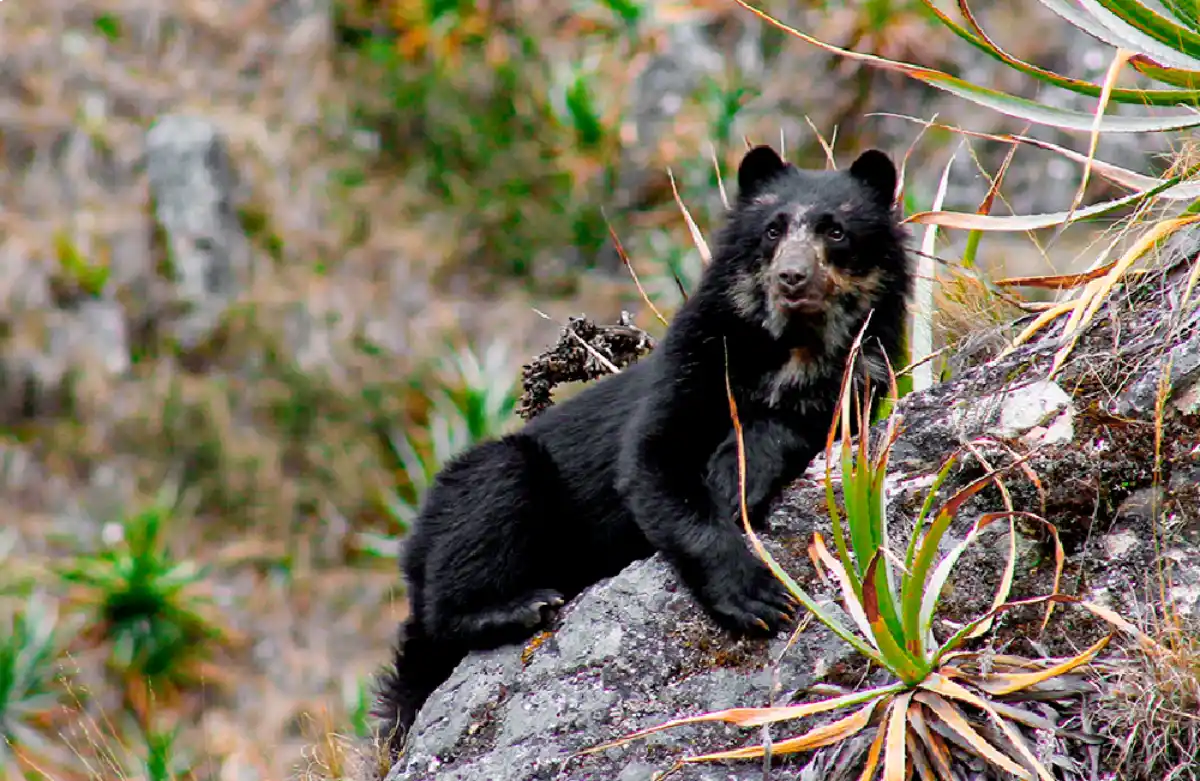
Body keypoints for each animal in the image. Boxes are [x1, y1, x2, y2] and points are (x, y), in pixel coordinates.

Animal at [374, 143, 907, 753]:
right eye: (772, 229)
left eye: (836, 231)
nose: (792, 277)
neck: (791, 348)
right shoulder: (694, 359)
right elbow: (652, 462)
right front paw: (758, 598)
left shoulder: (861, 377)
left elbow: (802, 427)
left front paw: (735, 477)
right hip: (476, 491)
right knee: (469, 548)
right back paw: (521, 606)